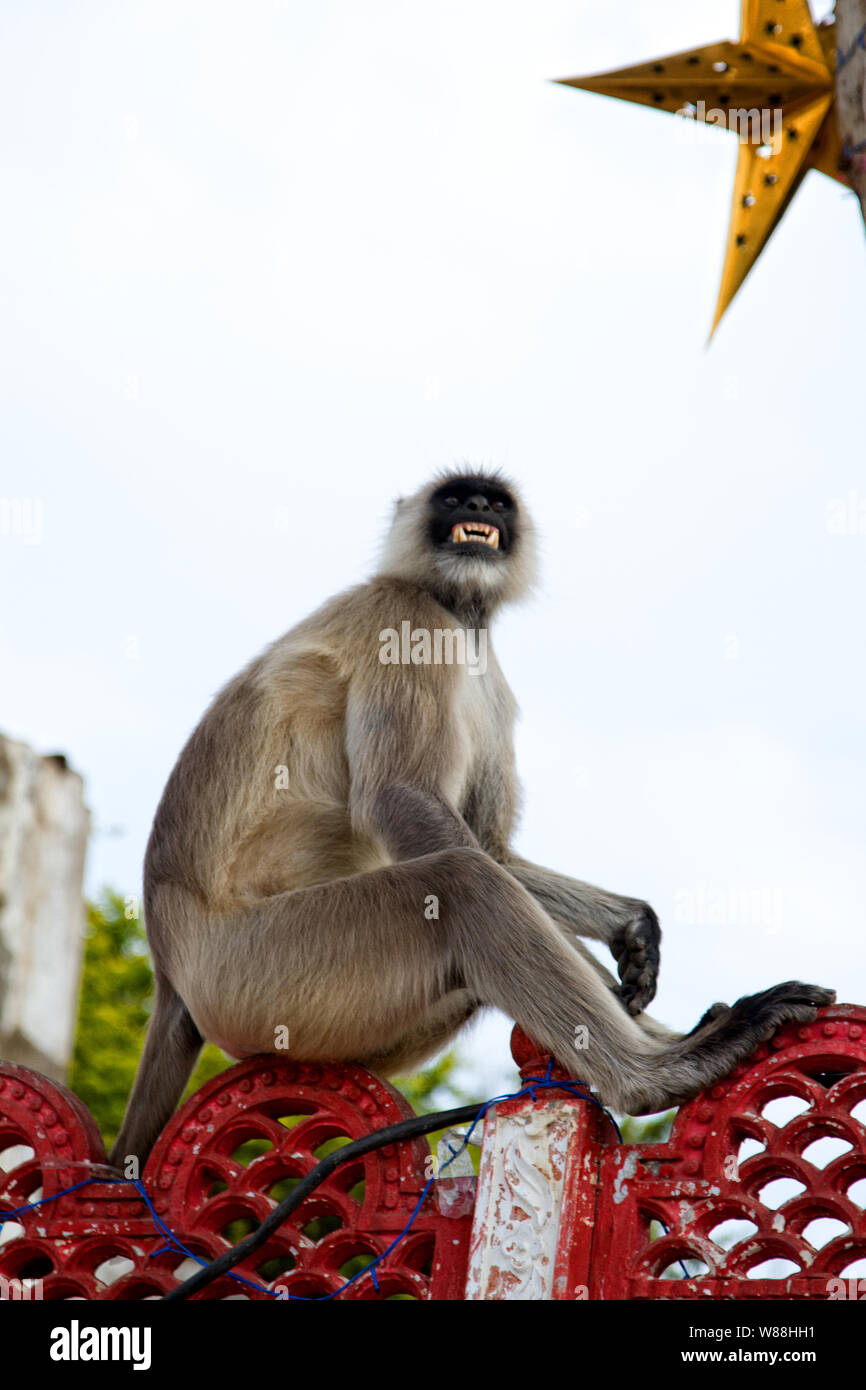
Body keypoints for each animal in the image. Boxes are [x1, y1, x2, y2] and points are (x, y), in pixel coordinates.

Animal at [108, 472, 834, 1167]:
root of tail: (171, 970)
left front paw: (631, 928)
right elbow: (407, 804)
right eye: (457, 496)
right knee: (462, 883)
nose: (479, 507)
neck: (460, 614)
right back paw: (663, 1072)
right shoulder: (405, 619)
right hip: (260, 977)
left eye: (495, 502)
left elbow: (494, 846)